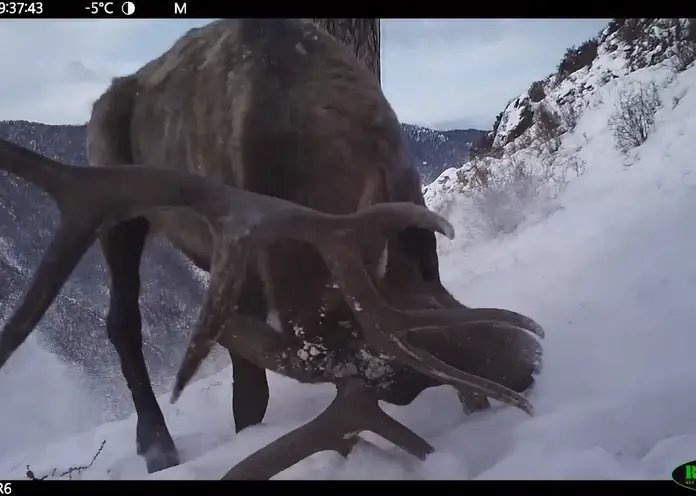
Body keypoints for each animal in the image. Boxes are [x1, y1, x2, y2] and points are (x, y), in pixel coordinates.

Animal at [0, 20, 544, 480]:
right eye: (402, 388)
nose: (529, 364)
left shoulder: (414, 208)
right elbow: (249, 395)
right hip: (114, 197)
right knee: (122, 321)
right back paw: (156, 444)